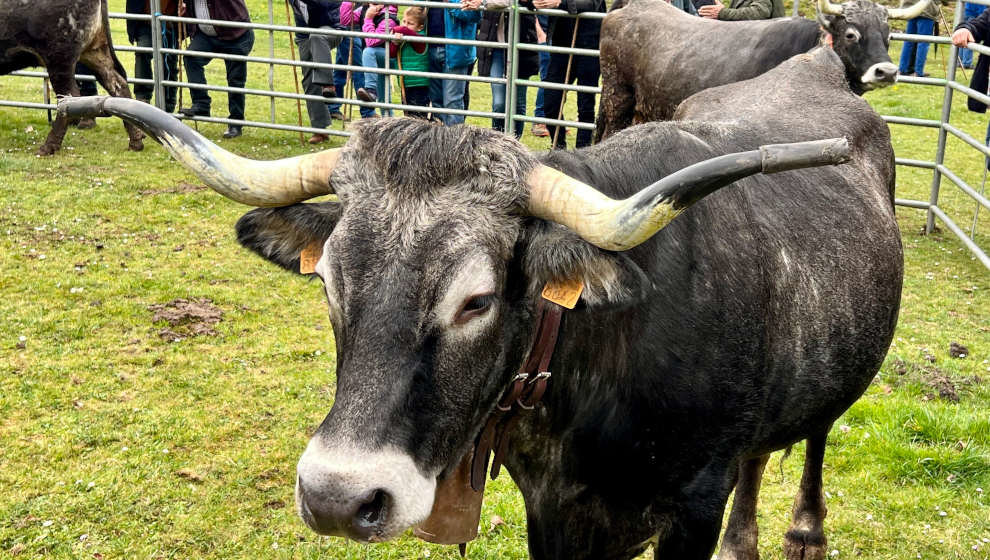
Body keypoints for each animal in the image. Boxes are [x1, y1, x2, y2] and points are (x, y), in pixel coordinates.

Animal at [0, 0, 143, 155]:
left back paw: (48, 147)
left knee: (70, 97)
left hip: (60, 57)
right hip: (95, 51)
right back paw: (136, 141)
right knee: (117, 84)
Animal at [58, 43, 904, 560]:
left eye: (478, 301)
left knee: (815, 437)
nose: (338, 498)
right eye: (328, 281)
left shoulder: (693, 503)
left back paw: (802, 532)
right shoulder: (551, 509)